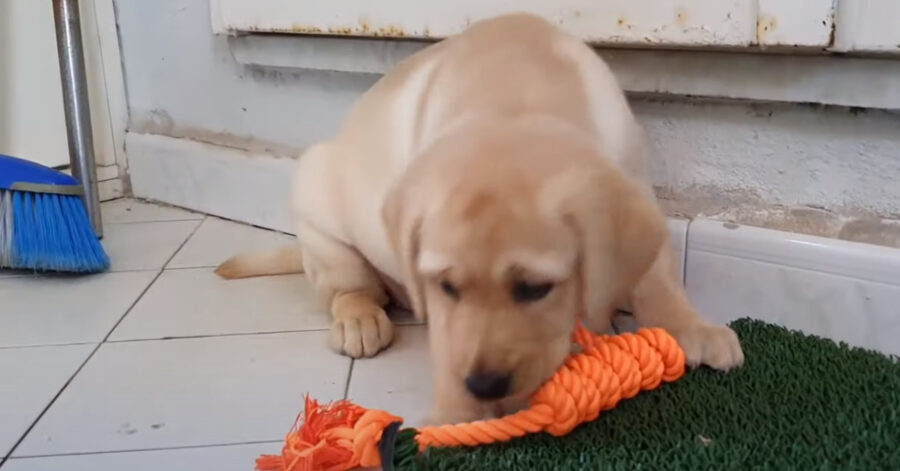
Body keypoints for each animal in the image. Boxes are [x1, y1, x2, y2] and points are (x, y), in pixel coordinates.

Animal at [214, 12, 740, 424]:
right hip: (320, 219)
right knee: (347, 290)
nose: (485, 386)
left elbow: (657, 278)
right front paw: (455, 416)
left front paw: (691, 327)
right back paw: (359, 320)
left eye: (535, 288)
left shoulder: (635, 180)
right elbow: (448, 337)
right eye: (448, 286)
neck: (515, 97)